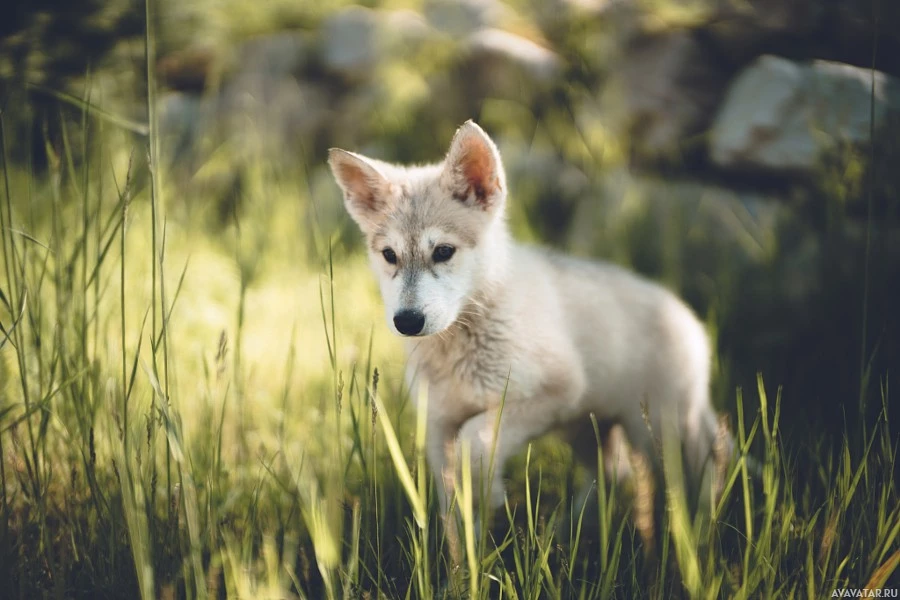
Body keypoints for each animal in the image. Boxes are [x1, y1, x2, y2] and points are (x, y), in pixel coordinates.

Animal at [326, 122, 728, 528]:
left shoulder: (554, 392)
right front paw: (464, 538)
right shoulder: (438, 422)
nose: (407, 321)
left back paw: (701, 525)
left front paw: (488, 491)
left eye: (443, 252)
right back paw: (570, 527)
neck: (462, 347)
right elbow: (450, 502)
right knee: (614, 474)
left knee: (702, 467)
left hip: (659, 428)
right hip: (586, 429)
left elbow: (476, 440)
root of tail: (686, 315)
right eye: (389, 255)